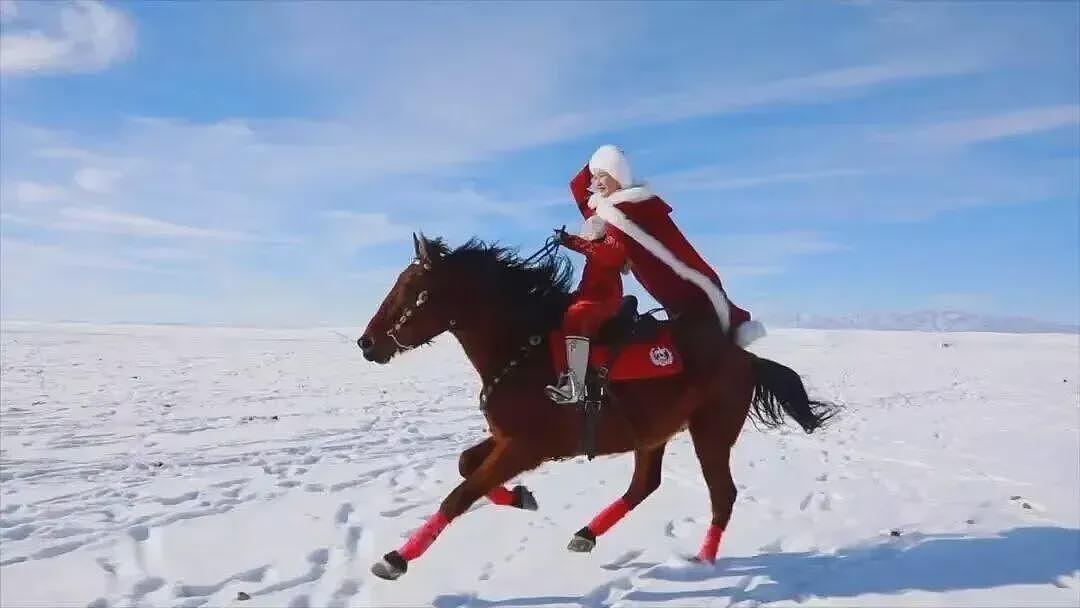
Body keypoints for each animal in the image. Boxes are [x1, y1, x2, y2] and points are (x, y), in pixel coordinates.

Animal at [358, 234, 837, 581]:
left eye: (412, 290)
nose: (366, 343)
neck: (524, 350)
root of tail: (744, 357)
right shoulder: (506, 438)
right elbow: (464, 466)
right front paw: (521, 497)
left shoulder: (526, 447)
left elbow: (460, 494)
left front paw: (396, 559)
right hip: (653, 433)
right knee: (645, 485)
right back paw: (586, 534)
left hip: (711, 433)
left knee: (723, 495)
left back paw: (702, 560)